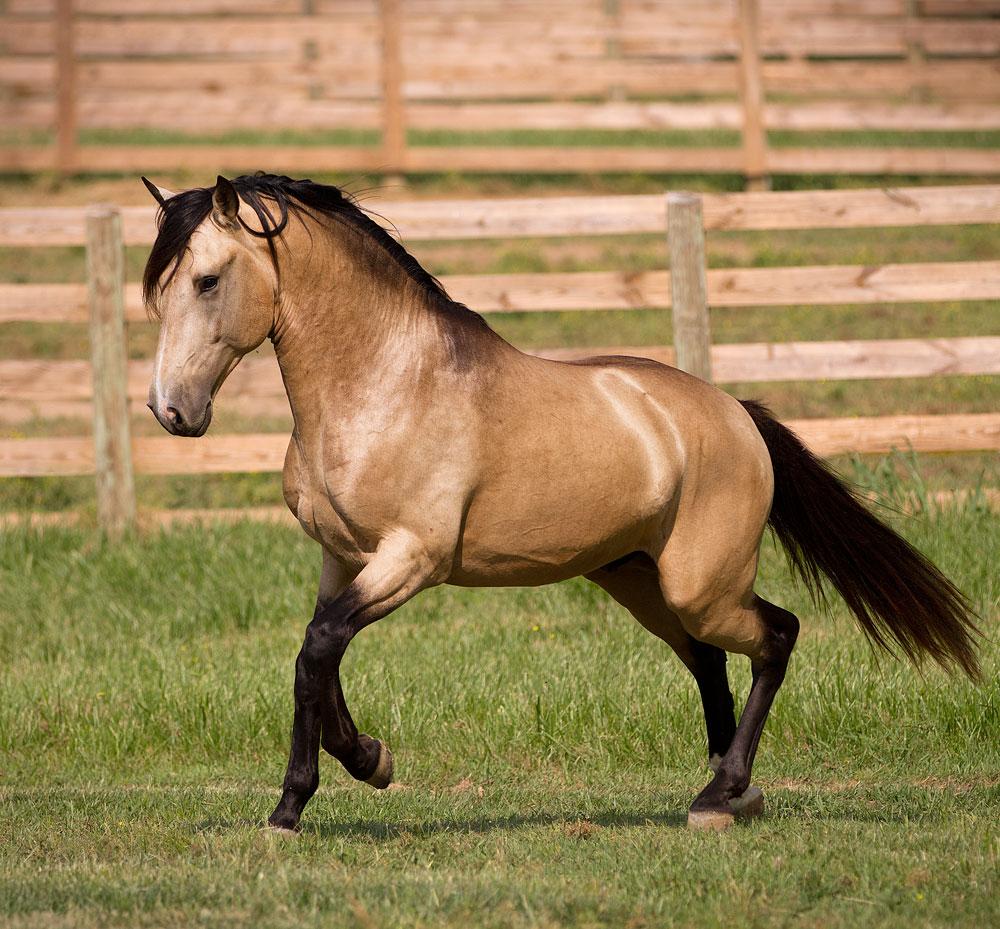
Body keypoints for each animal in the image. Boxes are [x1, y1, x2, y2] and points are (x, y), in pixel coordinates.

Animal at [140, 173, 980, 833]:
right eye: (159, 291)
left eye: (207, 281)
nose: (171, 411)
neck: (387, 384)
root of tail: (736, 414)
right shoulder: (343, 557)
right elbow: (320, 650)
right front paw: (368, 759)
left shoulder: (413, 557)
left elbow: (317, 648)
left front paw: (293, 805)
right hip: (637, 577)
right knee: (708, 657)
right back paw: (726, 789)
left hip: (701, 584)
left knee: (777, 636)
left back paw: (724, 792)